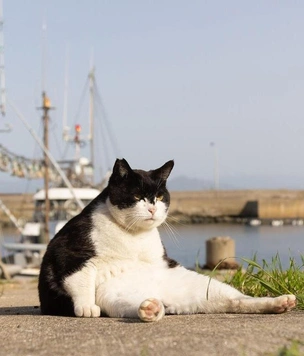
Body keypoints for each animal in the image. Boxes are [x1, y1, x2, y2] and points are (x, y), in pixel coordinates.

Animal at [38, 160, 296, 322]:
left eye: (160, 196)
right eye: (137, 196)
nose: (152, 208)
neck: (132, 236)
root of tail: (168, 299)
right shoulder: (69, 253)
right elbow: (80, 281)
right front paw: (85, 307)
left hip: (205, 286)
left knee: (237, 301)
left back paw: (280, 303)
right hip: (111, 296)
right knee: (136, 306)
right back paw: (151, 309)